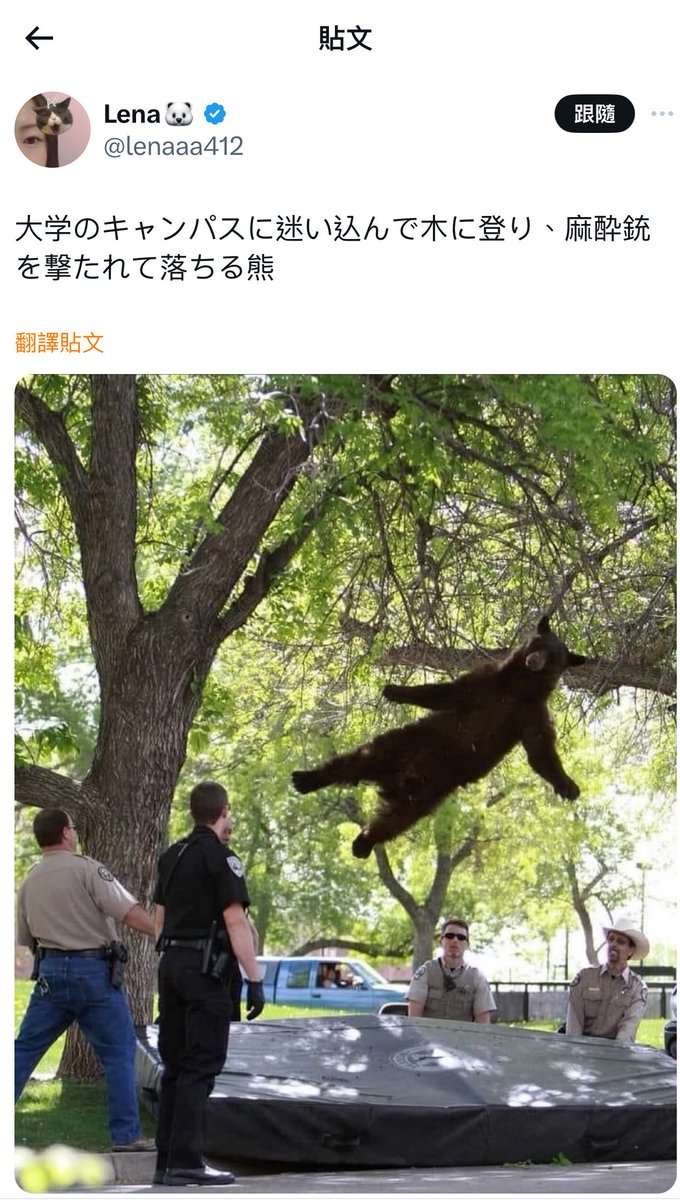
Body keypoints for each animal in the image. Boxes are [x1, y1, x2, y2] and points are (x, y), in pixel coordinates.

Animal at [292, 616, 587, 859]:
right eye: (538, 643)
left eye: (554, 655)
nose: (534, 660)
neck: (520, 686)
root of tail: (397, 780)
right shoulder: (486, 683)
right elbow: (446, 693)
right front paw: (394, 690)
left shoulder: (531, 713)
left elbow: (540, 751)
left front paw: (568, 786)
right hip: (403, 744)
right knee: (354, 761)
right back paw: (307, 778)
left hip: (425, 795)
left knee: (393, 821)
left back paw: (362, 843)